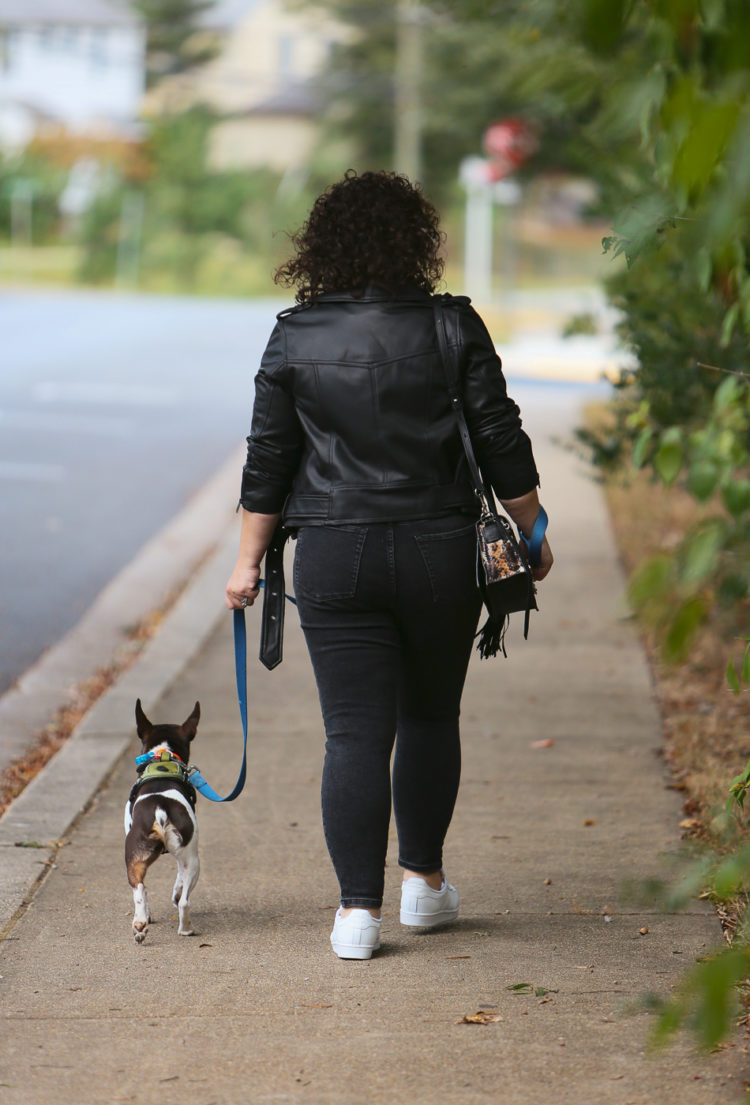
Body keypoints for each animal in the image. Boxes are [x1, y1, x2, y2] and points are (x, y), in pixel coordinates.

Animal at [125, 698, 202, 941]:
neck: (163, 758)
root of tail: (161, 809)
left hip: (145, 858)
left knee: (146, 892)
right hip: (189, 860)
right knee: (173, 898)